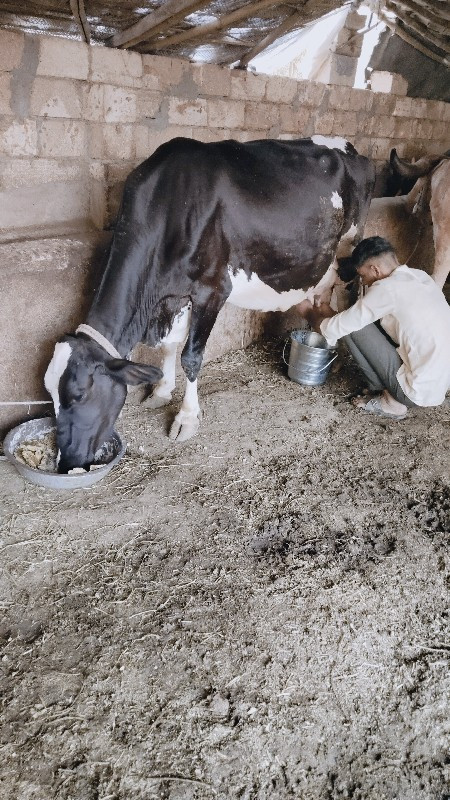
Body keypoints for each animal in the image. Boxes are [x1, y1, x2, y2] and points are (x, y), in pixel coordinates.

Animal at [46, 135, 376, 472]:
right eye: (50, 396)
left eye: (78, 395)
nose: (65, 463)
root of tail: (350, 147)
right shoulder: (175, 294)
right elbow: (169, 345)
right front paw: (161, 391)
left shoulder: (212, 290)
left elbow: (191, 357)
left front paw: (186, 418)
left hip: (350, 246)